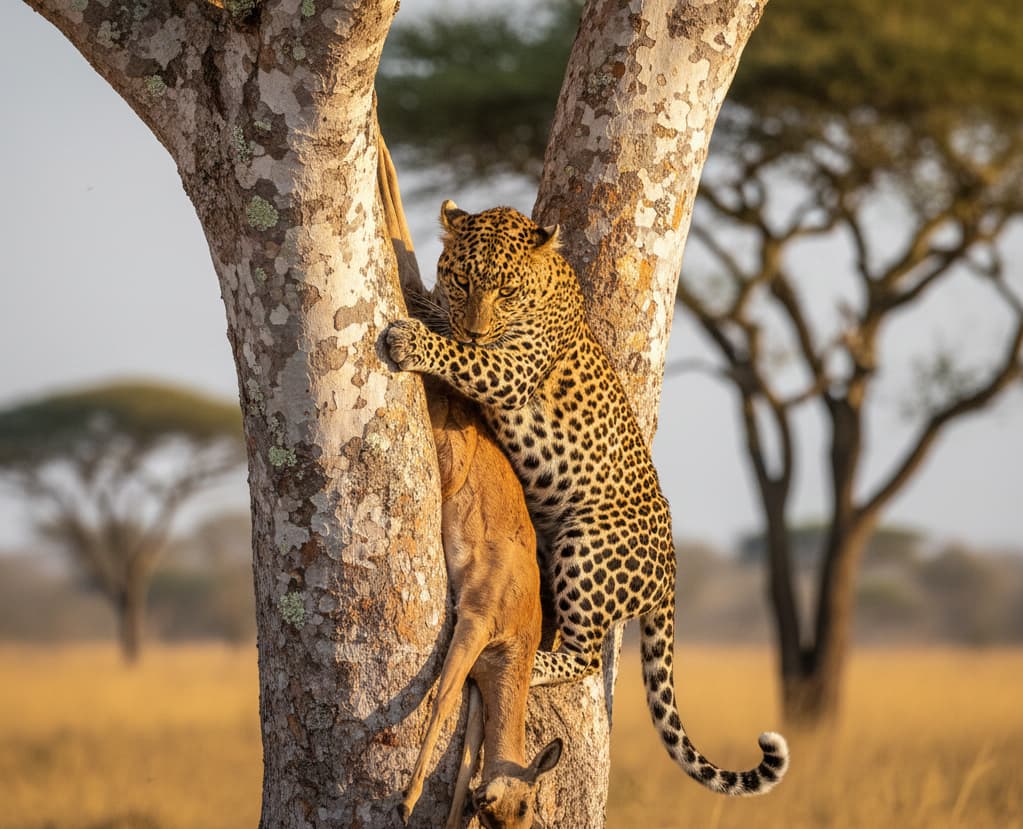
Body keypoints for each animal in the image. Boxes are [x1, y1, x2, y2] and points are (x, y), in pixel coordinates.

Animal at [386, 201, 789, 796]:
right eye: (462, 281)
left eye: (506, 291)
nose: (476, 330)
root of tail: (672, 570)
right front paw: (425, 305)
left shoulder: (512, 369)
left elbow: (462, 358)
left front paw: (413, 339)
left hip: (587, 542)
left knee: (584, 657)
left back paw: (537, 662)